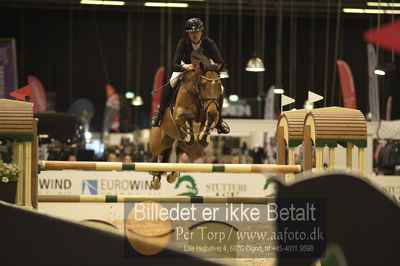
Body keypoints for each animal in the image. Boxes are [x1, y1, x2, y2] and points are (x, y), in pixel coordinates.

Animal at [149, 54, 225, 188]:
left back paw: (173, 175)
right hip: (158, 142)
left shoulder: (213, 112)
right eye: (203, 84)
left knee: (179, 151)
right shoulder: (177, 113)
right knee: (159, 153)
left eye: (219, 85)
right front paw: (192, 133)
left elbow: (213, 118)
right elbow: (189, 114)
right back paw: (156, 179)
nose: (211, 110)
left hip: (195, 151)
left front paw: (202, 137)